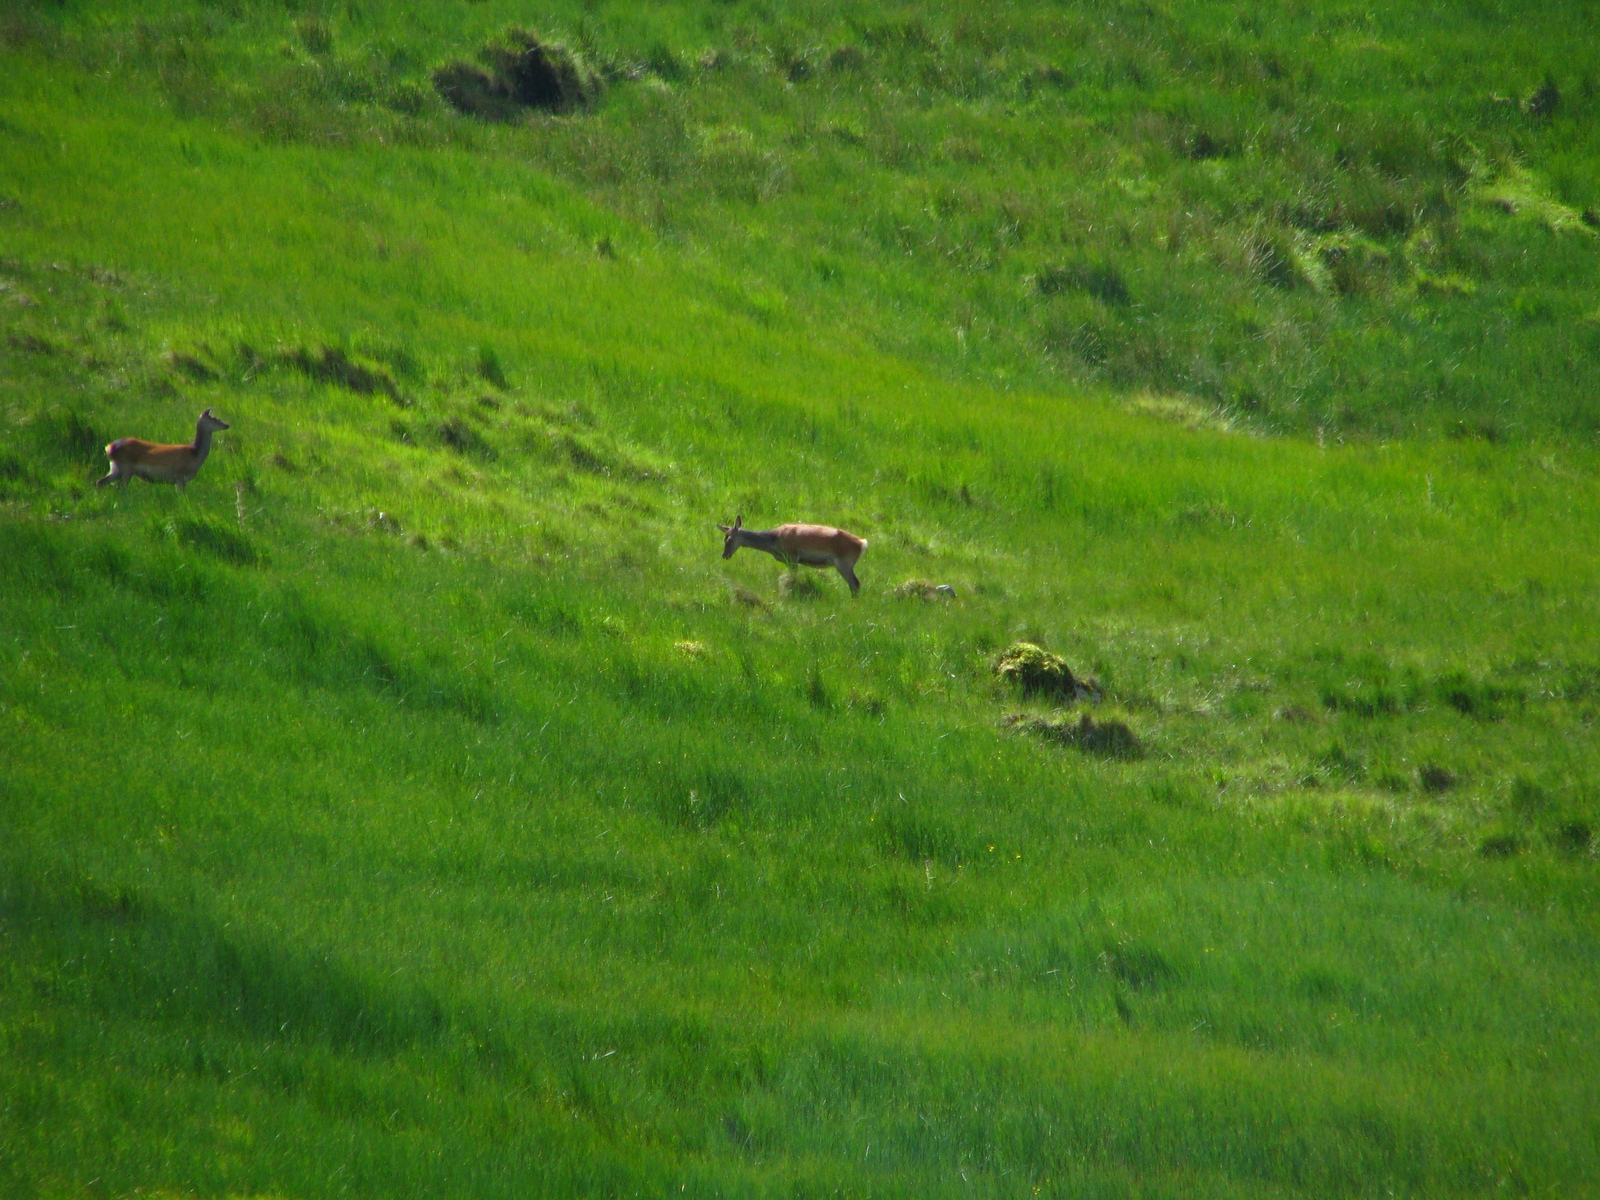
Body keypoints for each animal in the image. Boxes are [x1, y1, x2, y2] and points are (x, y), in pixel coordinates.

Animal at [98, 412, 230, 489]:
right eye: (214, 419)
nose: (227, 425)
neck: (195, 456)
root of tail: (110, 448)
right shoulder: (179, 477)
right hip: (127, 468)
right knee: (121, 488)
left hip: (116, 468)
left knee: (100, 482)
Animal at [716, 512, 870, 598]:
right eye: (724, 537)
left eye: (729, 539)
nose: (724, 555)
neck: (774, 541)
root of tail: (862, 544)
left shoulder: (792, 558)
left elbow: (793, 578)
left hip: (844, 563)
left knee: (855, 584)